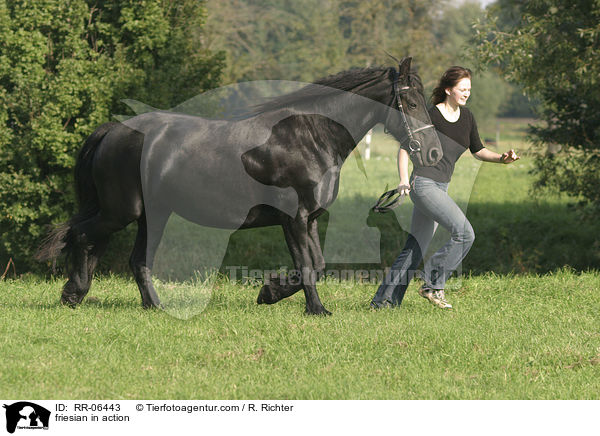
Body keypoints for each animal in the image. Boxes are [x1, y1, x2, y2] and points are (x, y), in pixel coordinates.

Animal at [36, 57, 440, 314]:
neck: (311, 137)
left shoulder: (309, 219)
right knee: (82, 236)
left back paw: (152, 307)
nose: (433, 152)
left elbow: (318, 265)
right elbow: (308, 266)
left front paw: (275, 293)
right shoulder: (293, 219)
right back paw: (73, 294)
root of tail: (113, 130)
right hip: (122, 211)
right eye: (410, 101)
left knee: (137, 260)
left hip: (153, 215)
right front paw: (308, 307)